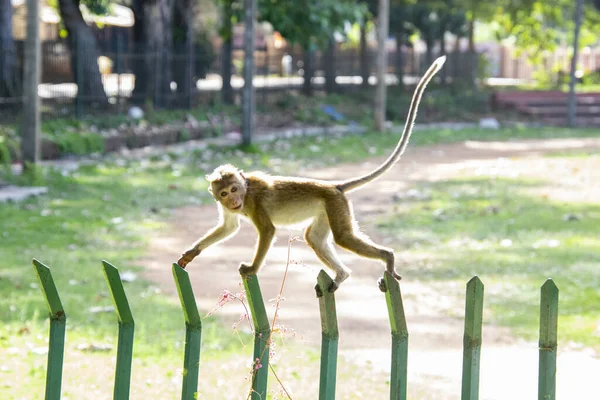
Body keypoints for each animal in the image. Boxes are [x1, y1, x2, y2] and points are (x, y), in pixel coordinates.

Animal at [178, 55, 446, 294]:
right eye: (224, 193)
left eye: (235, 189)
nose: (233, 200)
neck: (246, 193)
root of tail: (334, 186)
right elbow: (229, 227)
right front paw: (192, 252)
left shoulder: (255, 203)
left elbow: (268, 231)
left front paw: (252, 268)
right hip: (327, 209)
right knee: (314, 238)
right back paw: (341, 275)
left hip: (335, 205)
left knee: (343, 237)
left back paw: (387, 258)